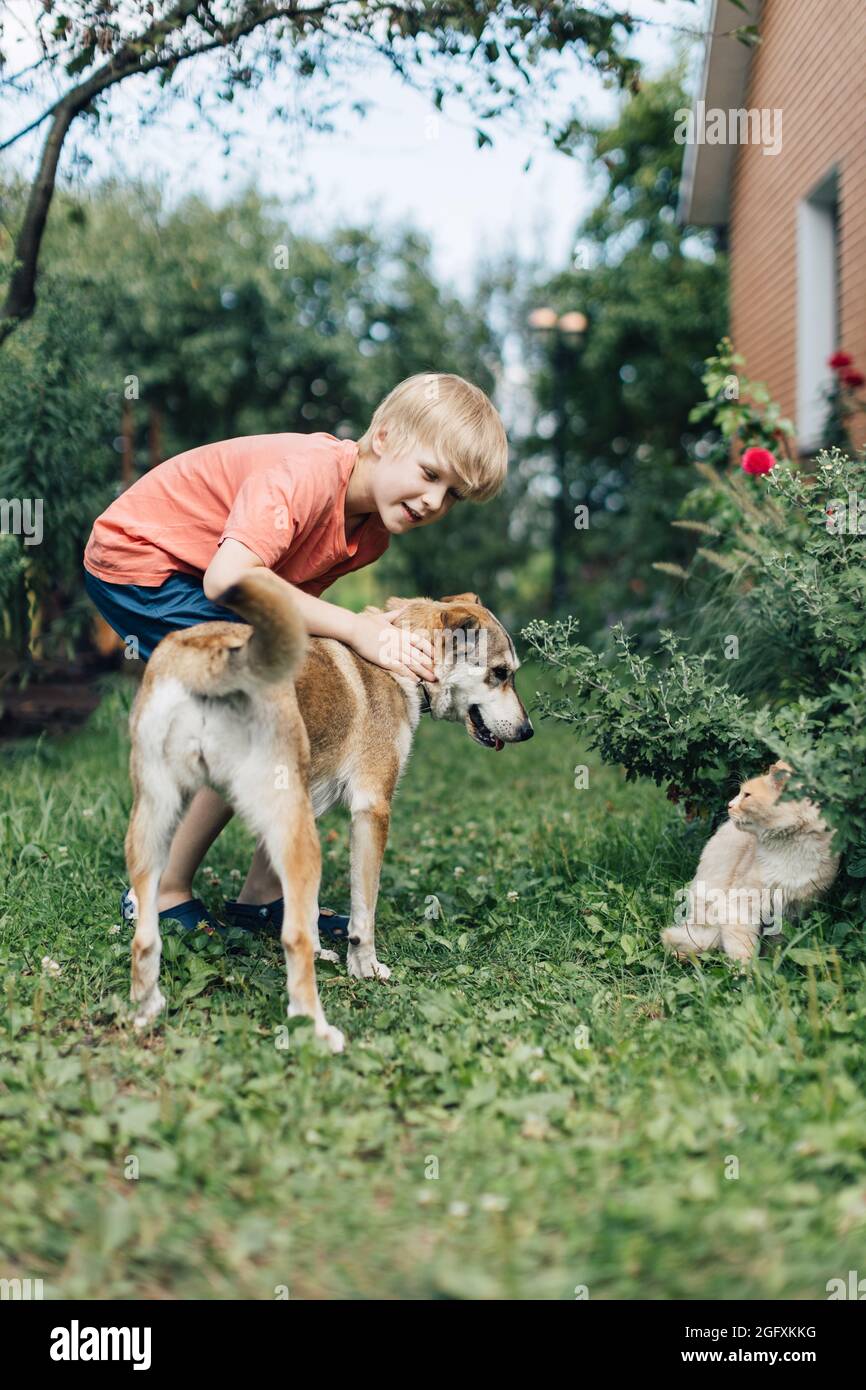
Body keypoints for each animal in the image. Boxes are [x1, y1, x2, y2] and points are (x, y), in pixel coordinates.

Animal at [124, 569, 536, 1045]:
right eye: (500, 673)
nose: (528, 732)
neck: (401, 660)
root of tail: (211, 660)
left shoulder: (310, 807)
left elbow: (305, 904)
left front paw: (326, 949)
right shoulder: (371, 810)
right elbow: (364, 912)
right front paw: (365, 967)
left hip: (159, 822)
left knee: (145, 938)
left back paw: (146, 1010)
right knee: (293, 940)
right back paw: (317, 1030)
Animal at [664, 761, 839, 967]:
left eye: (747, 795)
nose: (729, 805)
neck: (791, 849)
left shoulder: (792, 909)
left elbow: (776, 945)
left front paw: (771, 964)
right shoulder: (742, 905)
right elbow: (742, 950)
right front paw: (748, 973)